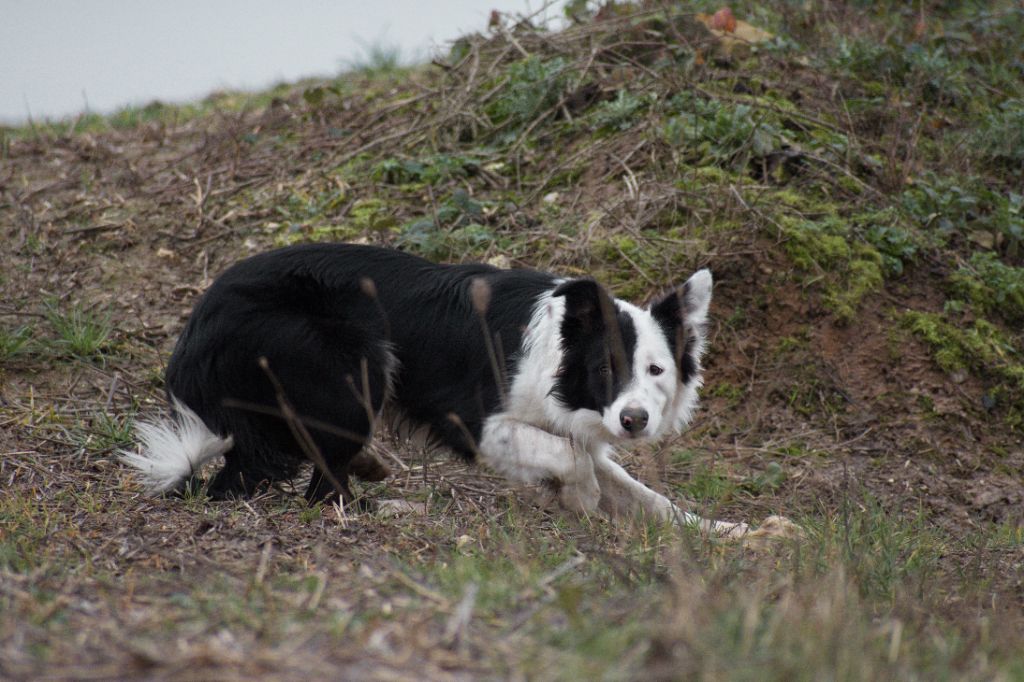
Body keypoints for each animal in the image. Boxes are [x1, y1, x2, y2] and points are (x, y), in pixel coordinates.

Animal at [122, 243, 748, 536]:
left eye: (656, 371)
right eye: (605, 371)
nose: (634, 421)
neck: (558, 358)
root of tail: (192, 336)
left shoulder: (572, 426)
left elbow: (647, 497)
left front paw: (729, 532)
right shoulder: (476, 422)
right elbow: (576, 463)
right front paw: (579, 497)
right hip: (355, 355)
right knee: (317, 493)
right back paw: (389, 504)